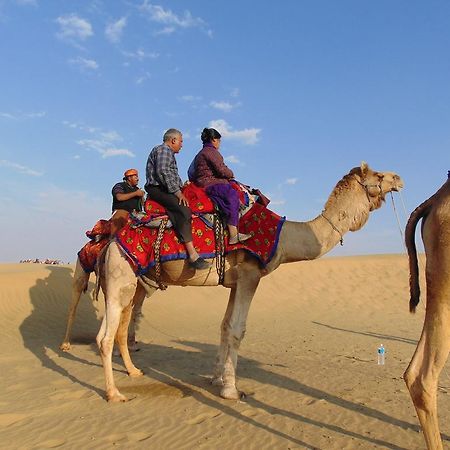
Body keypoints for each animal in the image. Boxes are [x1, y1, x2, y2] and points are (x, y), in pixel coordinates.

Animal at [93, 163, 402, 402]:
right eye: (378, 175)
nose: (399, 178)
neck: (283, 238)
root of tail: (111, 241)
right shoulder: (251, 275)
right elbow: (237, 330)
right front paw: (232, 390)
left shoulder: (235, 282)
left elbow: (224, 326)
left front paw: (218, 379)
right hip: (122, 276)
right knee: (107, 336)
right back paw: (114, 394)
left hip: (123, 283)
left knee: (109, 331)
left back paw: (134, 372)